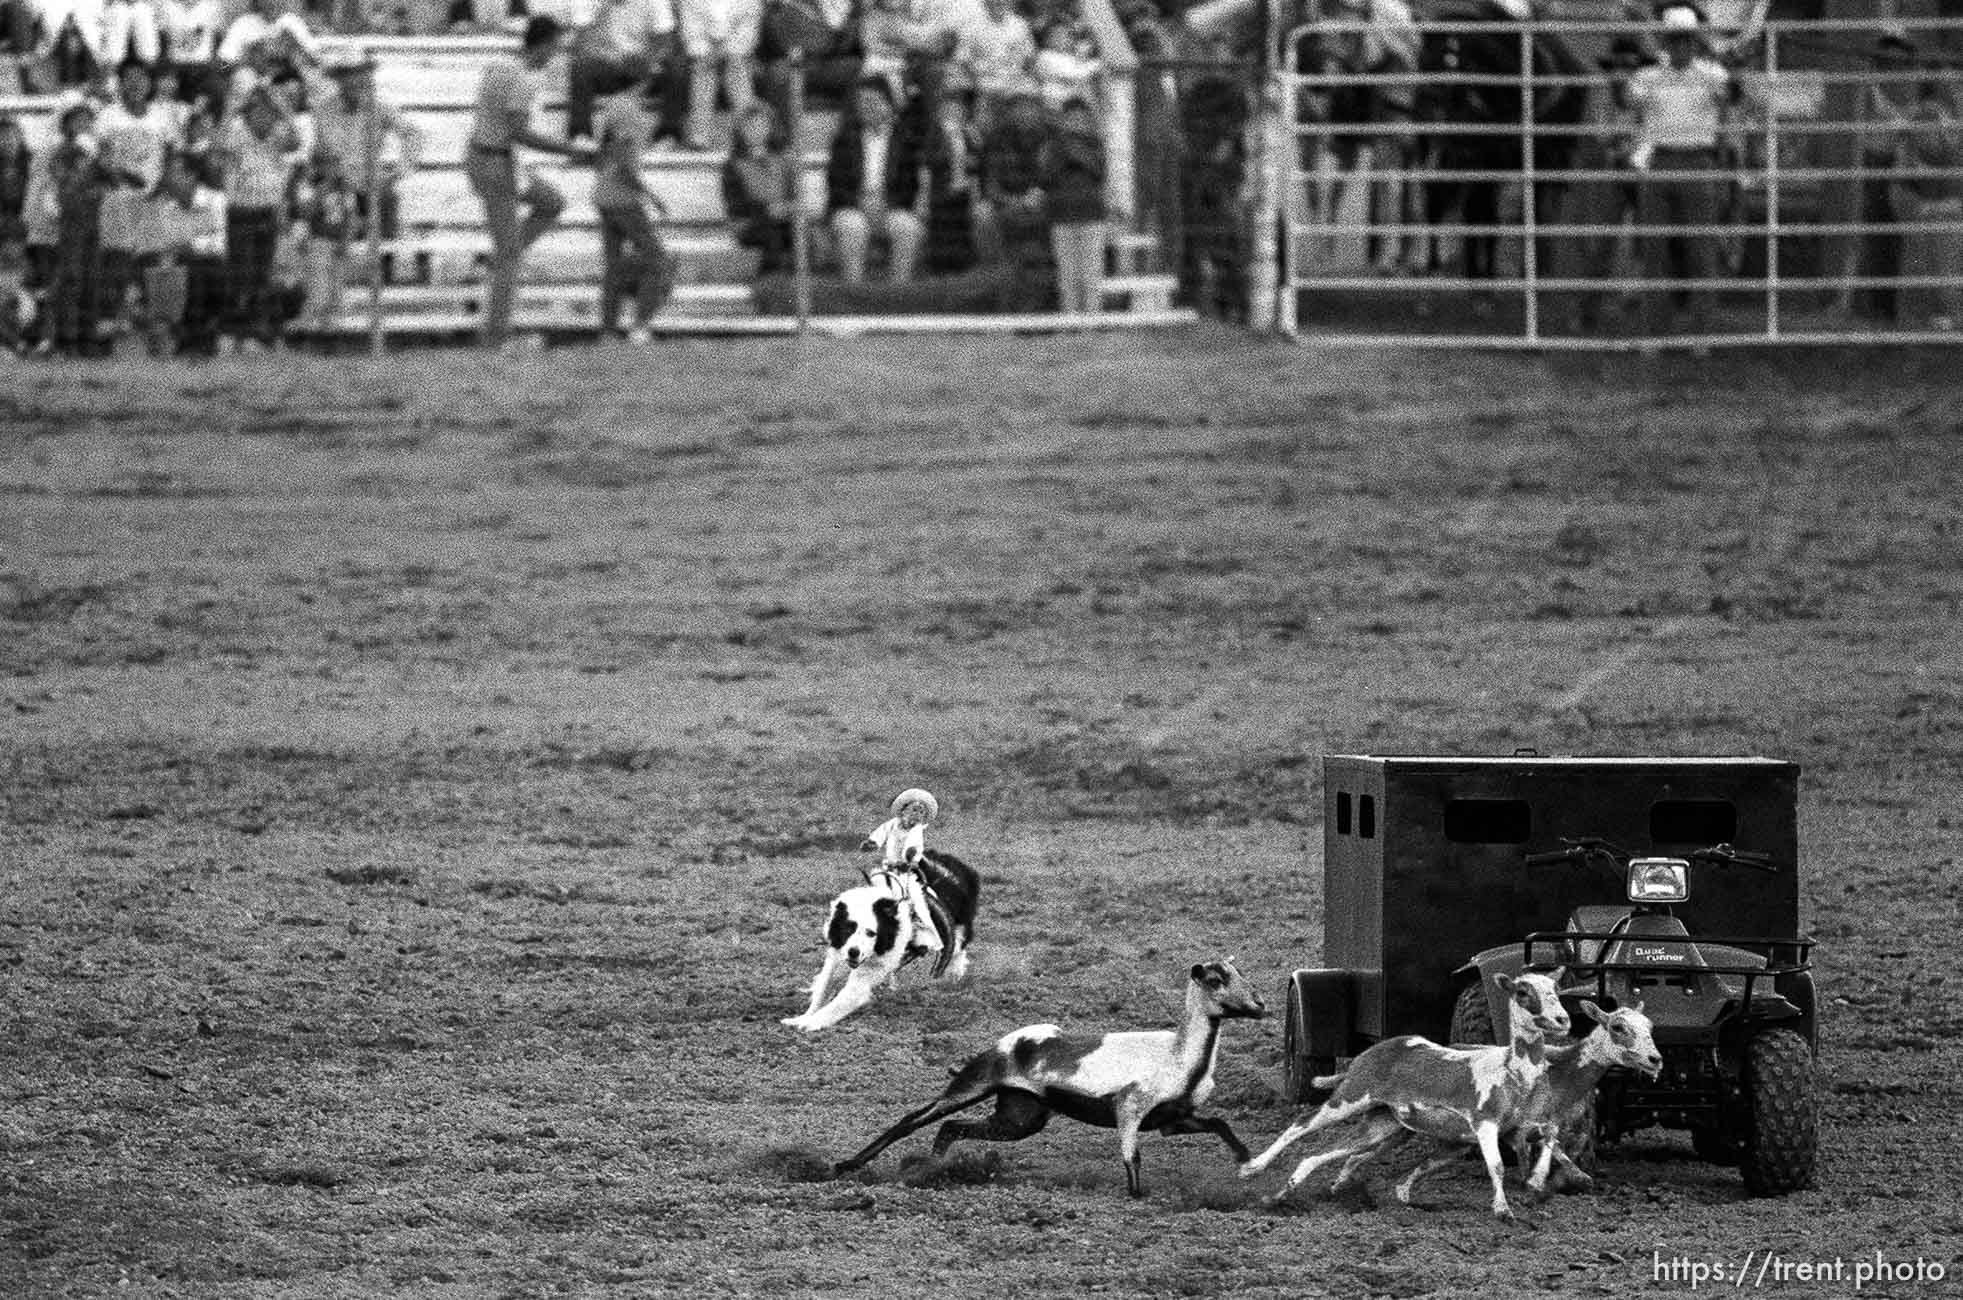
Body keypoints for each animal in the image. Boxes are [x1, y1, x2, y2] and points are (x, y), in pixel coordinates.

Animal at [781, 856, 981, 1036]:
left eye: (871, 933)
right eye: (848, 928)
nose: (854, 952)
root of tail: (961, 866)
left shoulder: (867, 974)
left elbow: (838, 1002)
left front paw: (809, 1023)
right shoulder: (837, 958)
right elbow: (823, 987)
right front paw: (801, 1018)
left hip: (958, 933)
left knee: (958, 952)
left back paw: (954, 976)